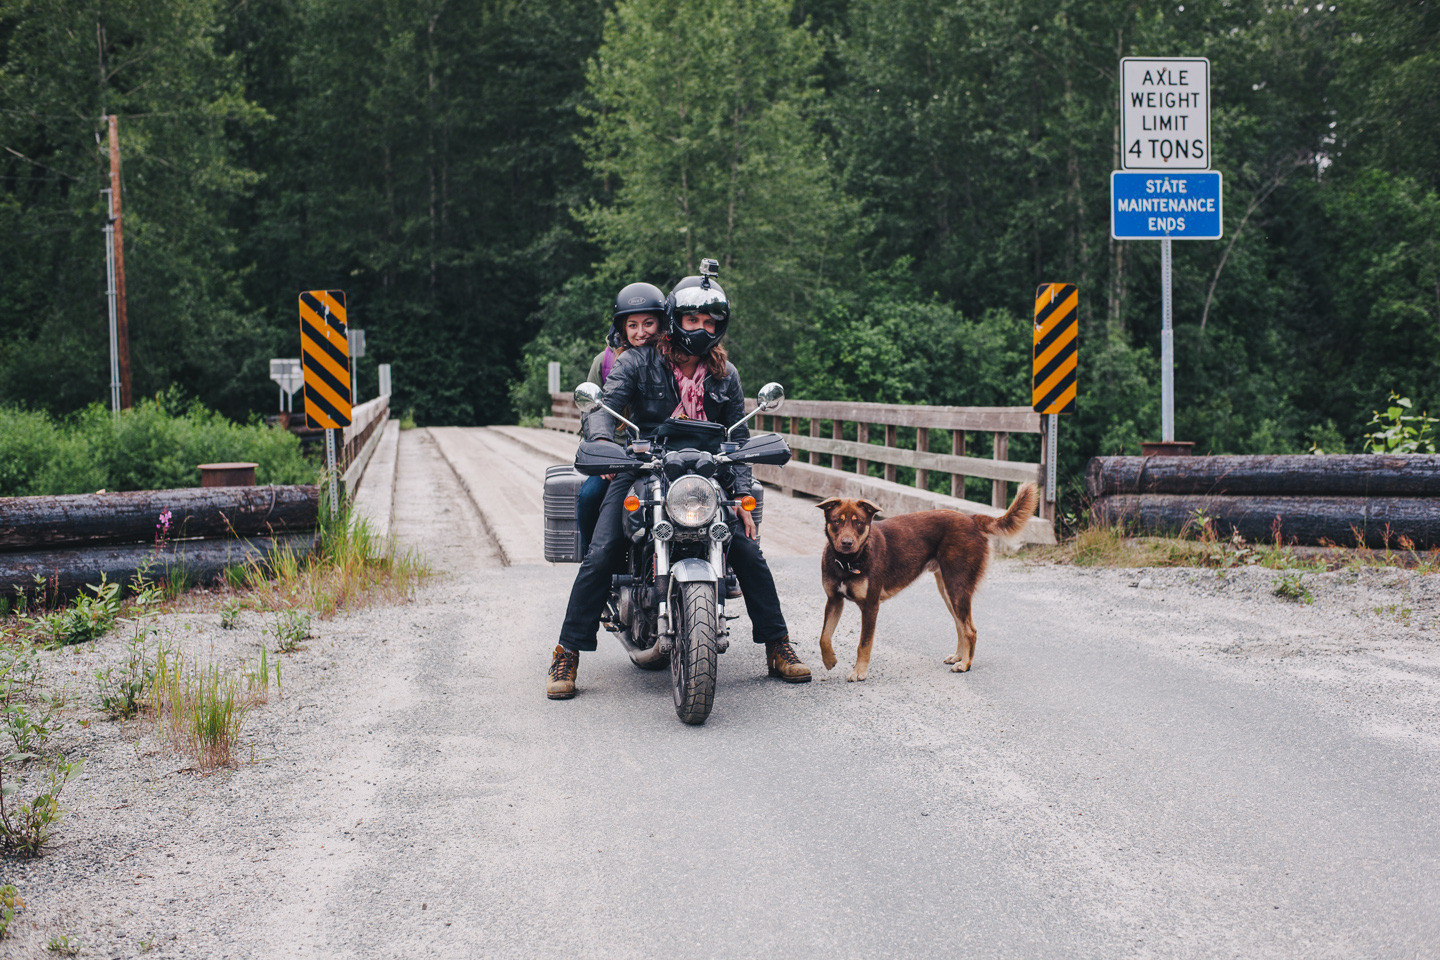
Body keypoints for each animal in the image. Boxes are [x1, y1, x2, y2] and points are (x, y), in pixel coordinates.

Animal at [823, 489, 1036, 682]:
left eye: (859, 522)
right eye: (837, 521)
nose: (847, 543)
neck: (847, 562)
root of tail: (972, 518)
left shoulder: (870, 606)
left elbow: (863, 644)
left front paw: (859, 672)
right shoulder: (833, 601)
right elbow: (824, 637)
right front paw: (829, 660)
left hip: (957, 587)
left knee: (970, 630)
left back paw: (965, 664)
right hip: (948, 590)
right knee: (960, 625)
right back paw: (959, 657)